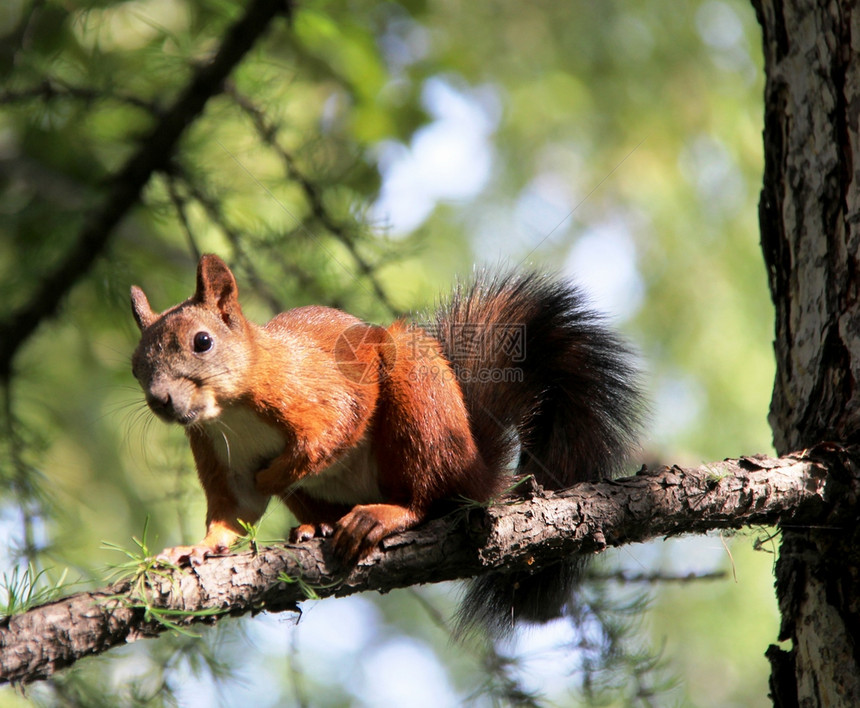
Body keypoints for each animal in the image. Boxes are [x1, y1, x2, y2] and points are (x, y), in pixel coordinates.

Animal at [131, 253, 640, 632]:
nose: (161, 400)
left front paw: (274, 475)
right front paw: (194, 549)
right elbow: (234, 512)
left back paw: (383, 515)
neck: (230, 409)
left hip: (419, 410)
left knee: (429, 499)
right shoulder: (216, 452)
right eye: (136, 366)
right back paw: (316, 526)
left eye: (202, 341)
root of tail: (477, 470)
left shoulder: (322, 392)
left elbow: (328, 437)